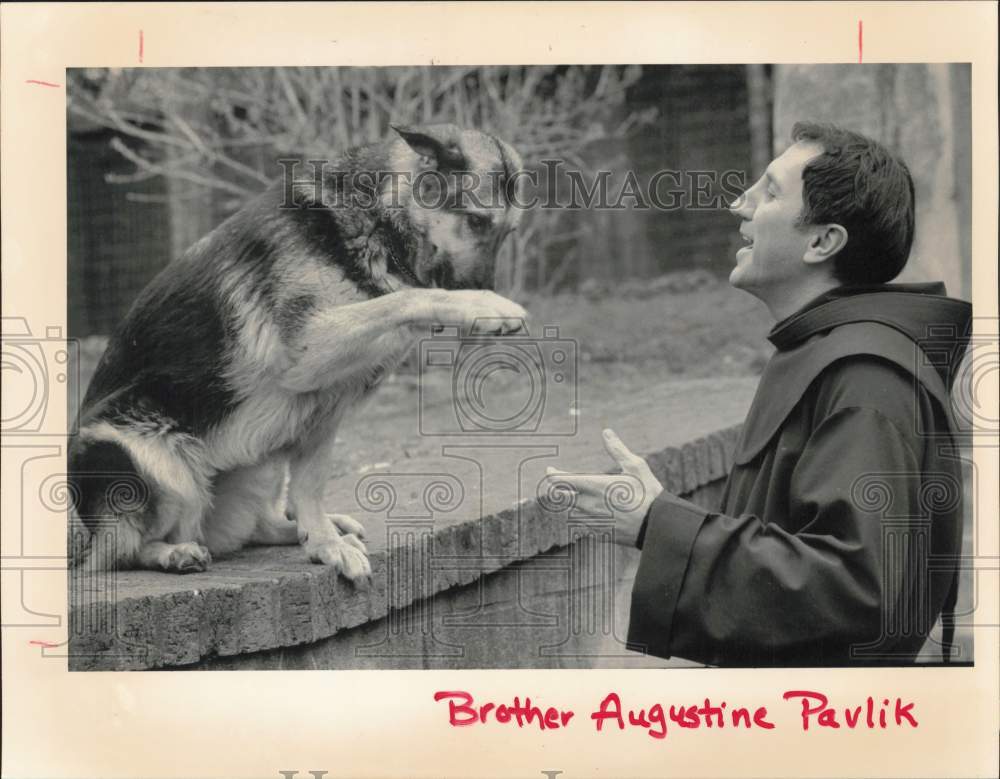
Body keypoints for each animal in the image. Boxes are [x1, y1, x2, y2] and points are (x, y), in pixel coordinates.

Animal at [67, 125, 528, 580]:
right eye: (475, 221)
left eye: (508, 232)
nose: (484, 286)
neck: (375, 218)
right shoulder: (308, 351)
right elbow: (405, 298)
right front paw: (482, 306)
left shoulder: (326, 406)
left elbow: (310, 485)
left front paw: (324, 543)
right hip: (152, 459)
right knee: (125, 551)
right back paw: (172, 553)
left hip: (260, 461)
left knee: (258, 526)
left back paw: (315, 529)